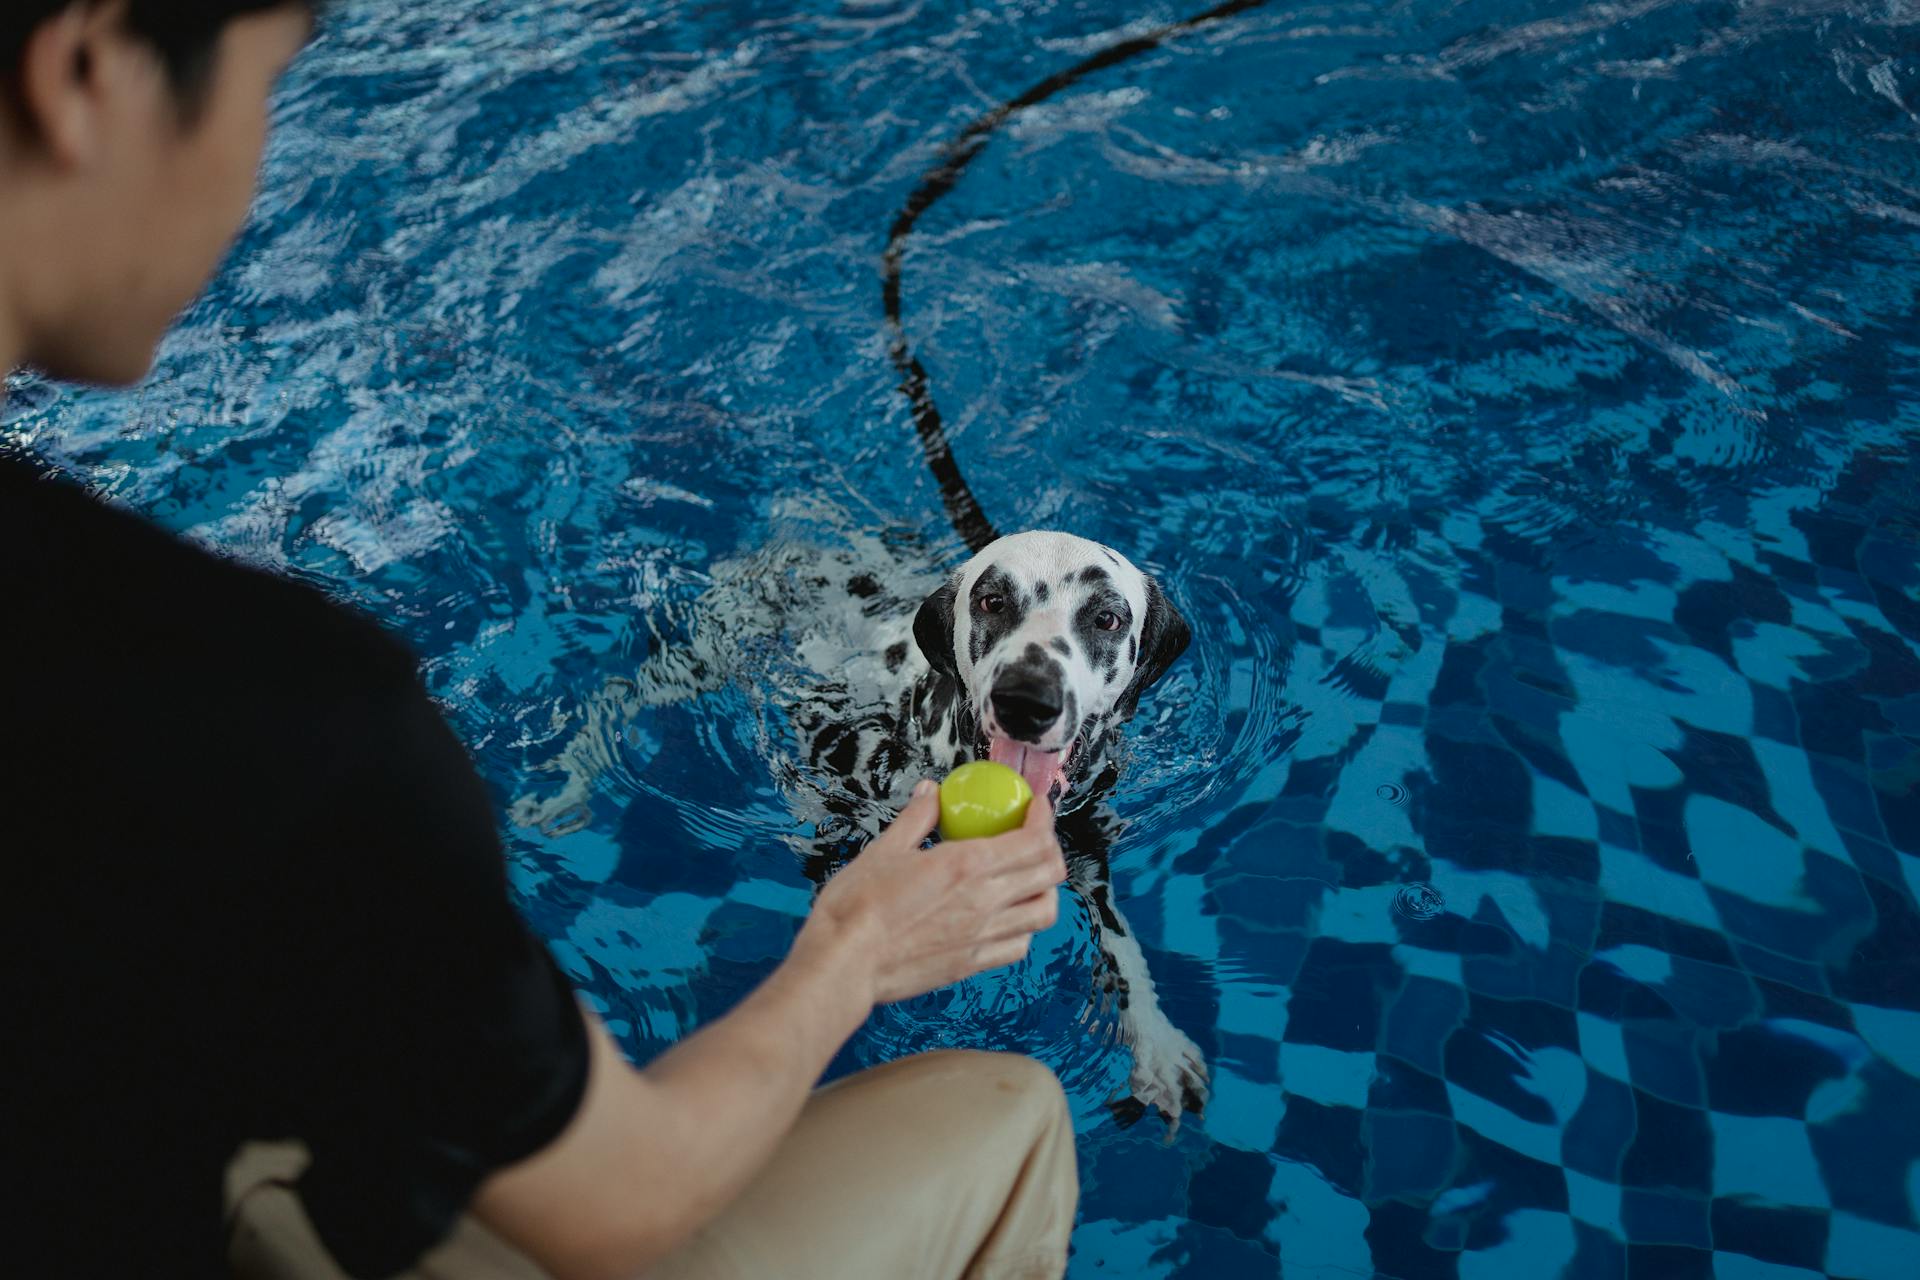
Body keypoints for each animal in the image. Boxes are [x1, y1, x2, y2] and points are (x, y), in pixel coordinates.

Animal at [518, 525, 1205, 1128]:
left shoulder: (1087, 848)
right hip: (690, 664)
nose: (1027, 699)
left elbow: (1122, 945)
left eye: (1107, 618)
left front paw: (1157, 1044)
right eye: (993, 600)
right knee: (613, 699)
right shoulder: (842, 833)